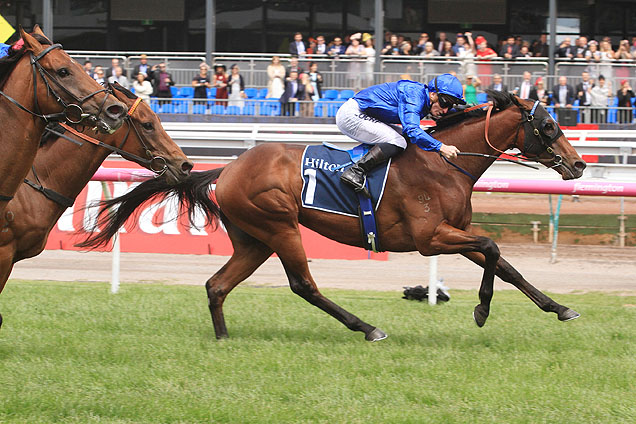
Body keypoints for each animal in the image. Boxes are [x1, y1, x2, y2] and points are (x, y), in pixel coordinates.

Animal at [79, 92, 588, 342]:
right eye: (549, 126)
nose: (579, 164)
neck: (445, 162)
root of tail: (228, 169)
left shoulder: (454, 231)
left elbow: (504, 264)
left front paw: (560, 307)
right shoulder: (432, 237)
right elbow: (492, 248)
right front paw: (481, 310)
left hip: (254, 239)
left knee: (217, 285)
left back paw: (223, 340)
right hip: (280, 226)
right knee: (304, 285)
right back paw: (367, 328)